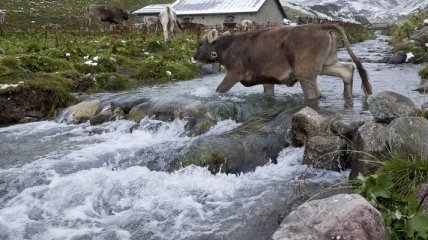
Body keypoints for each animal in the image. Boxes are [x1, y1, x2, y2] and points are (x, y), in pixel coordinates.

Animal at [192, 24, 372, 99]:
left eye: (200, 44)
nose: (193, 57)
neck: (228, 46)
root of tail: (319, 26)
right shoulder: (265, 77)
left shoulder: (235, 72)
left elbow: (220, 89)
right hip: (325, 64)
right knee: (347, 69)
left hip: (305, 72)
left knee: (314, 94)